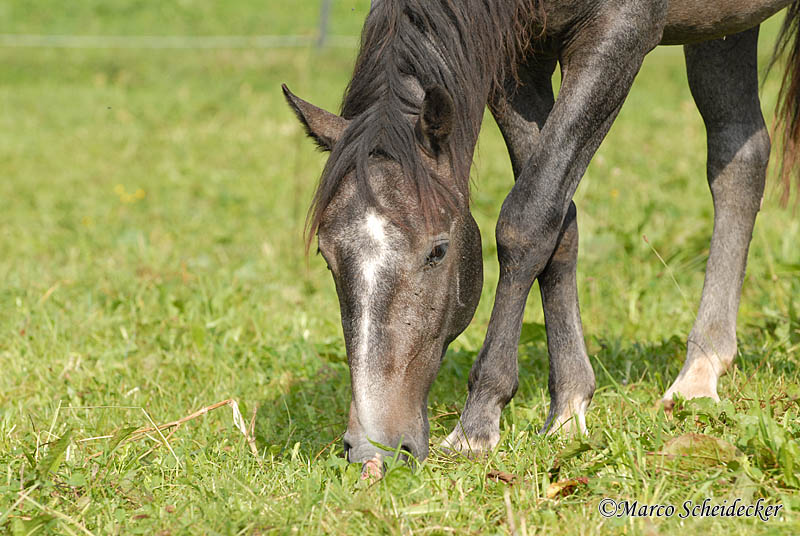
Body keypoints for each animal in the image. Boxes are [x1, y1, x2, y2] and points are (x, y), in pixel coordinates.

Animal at [282, 0, 800, 471]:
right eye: (327, 256)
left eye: (438, 251)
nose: (373, 450)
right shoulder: (521, 62)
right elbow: (559, 220)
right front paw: (569, 406)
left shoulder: (621, 35)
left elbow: (527, 219)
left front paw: (477, 422)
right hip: (724, 27)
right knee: (739, 155)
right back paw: (700, 371)